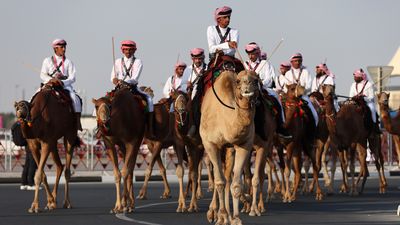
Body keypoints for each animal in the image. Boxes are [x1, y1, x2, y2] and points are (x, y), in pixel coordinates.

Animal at [14, 80, 78, 214]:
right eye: (16, 107)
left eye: (26, 107)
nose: (20, 112)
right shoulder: (33, 145)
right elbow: (42, 174)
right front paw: (50, 202)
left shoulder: (46, 142)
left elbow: (38, 175)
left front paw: (35, 206)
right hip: (54, 142)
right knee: (59, 166)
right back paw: (53, 201)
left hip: (70, 132)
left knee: (67, 169)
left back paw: (67, 203)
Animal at [92, 84, 145, 213]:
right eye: (96, 106)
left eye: (110, 106)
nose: (105, 119)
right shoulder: (108, 143)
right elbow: (117, 174)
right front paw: (117, 206)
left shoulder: (131, 142)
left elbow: (125, 171)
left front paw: (124, 206)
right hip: (122, 146)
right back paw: (127, 203)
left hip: (138, 139)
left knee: (130, 168)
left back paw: (130, 204)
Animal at [200, 70, 260, 225]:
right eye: (238, 81)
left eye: (256, 80)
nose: (247, 84)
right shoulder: (211, 144)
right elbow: (219, 182)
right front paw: (221, 216)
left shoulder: (243, 145)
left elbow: (236, 183)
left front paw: (236, 218)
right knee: (219, 177)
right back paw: (214, 213)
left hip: (229, 149)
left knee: (227, 176)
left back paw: (228, 215)